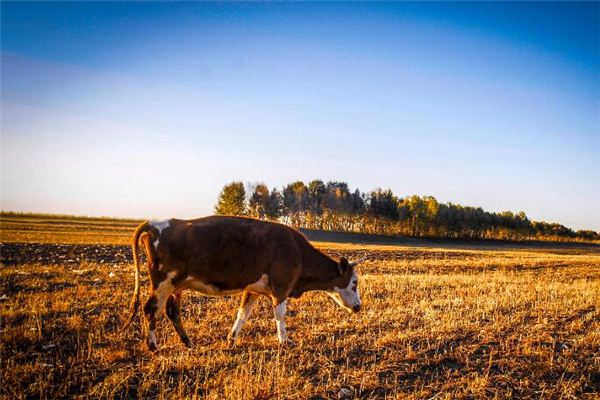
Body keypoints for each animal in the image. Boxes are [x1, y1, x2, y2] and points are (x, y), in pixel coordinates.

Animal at [120, 216, 366, 350]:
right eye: (354, 283)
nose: (358, 306)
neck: (297, 251)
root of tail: (155, 223)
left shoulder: (253, 290)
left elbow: (242, 314)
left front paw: (231, 338)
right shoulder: (280, 288)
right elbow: (280, 316)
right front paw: (284, 341)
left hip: (175, 286)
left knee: (172, 312)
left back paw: (188, 343)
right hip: (163, 283)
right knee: (150, 309)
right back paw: (153, 346)